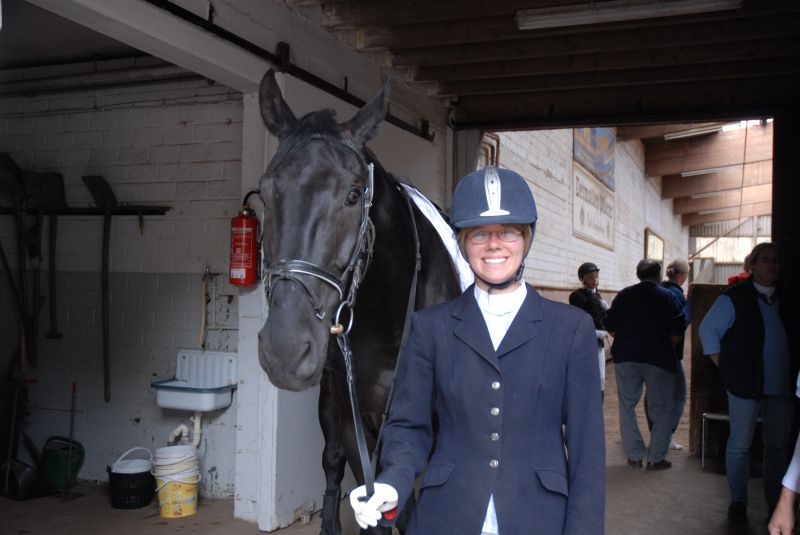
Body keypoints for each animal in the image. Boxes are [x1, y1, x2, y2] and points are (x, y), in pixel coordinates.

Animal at [256, 69, 462, 535]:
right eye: (264, 191)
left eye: (353, 195)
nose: (284, 350)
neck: (390, 318)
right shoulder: (353, 423)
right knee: (330, 462)